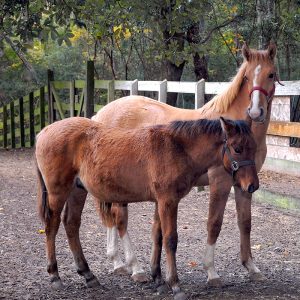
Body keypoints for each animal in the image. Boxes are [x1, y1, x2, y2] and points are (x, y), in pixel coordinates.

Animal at [36, 115, 258, 298]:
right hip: (58, 192)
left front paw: (158, 279)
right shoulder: (168, 201)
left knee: (71, 224)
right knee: (52, 226)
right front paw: (174, 284)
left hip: (77, 191)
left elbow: (158, 238)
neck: (177, 148)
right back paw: (54, 275)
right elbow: (170, 240)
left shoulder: (161, 202)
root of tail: (44, 132)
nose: (252, 186)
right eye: (237, 148)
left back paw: (88, 274)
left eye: (254, 147)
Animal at [86, 42, 278, 286]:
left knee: (112, 215)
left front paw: (252, 268)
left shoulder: (244, 184)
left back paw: (118, 263)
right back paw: (135, 268)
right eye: (246, 77)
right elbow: (214, 223)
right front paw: (211, 272)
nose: (255, 111)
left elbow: (245, 223)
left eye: (270, 74)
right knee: (120, 219)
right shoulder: (220, 181)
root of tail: (100, 115)